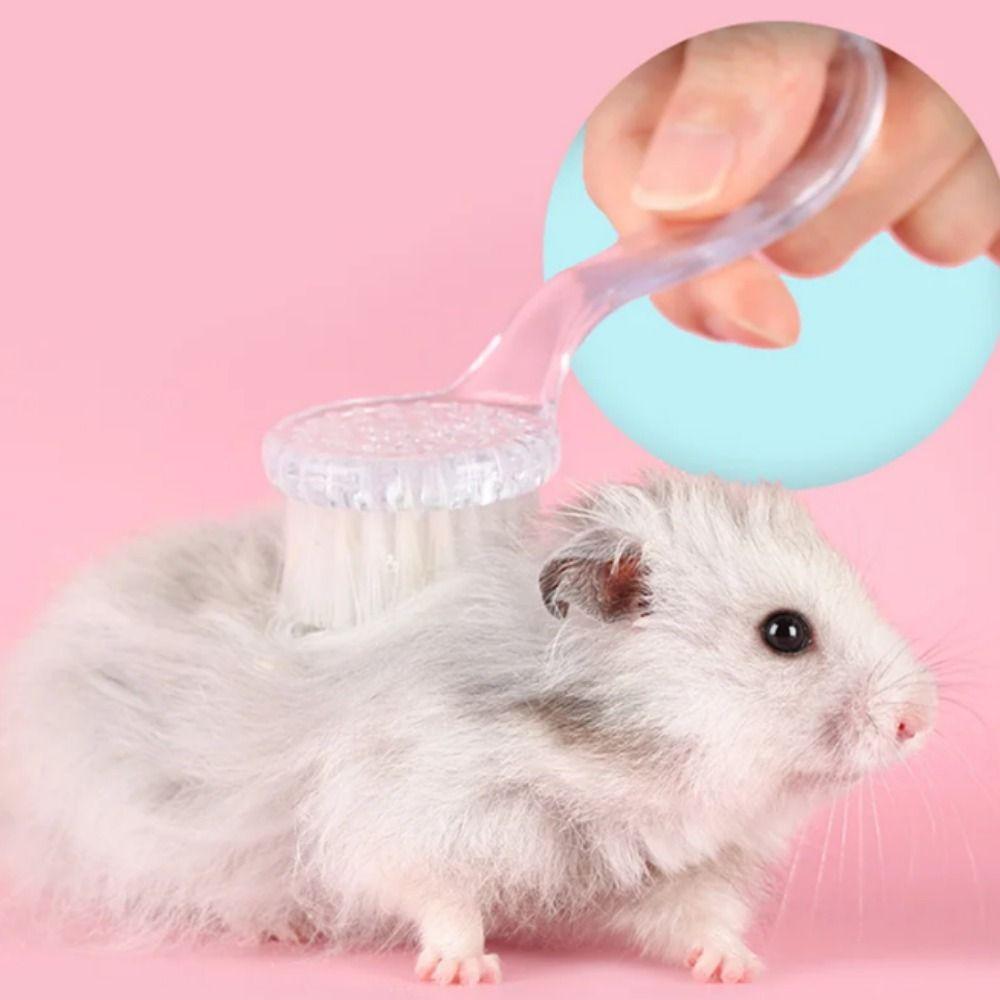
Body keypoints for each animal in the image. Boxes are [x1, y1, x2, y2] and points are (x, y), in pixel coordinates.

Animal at [0, 473, 937, 985]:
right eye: (785, 633)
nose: (916, 722)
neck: (627, 760)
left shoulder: (682, 865)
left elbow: (697, 919)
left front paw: (737, 968)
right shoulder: (410, 822)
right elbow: (441, 900)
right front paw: (466, 971)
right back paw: (284, 927)